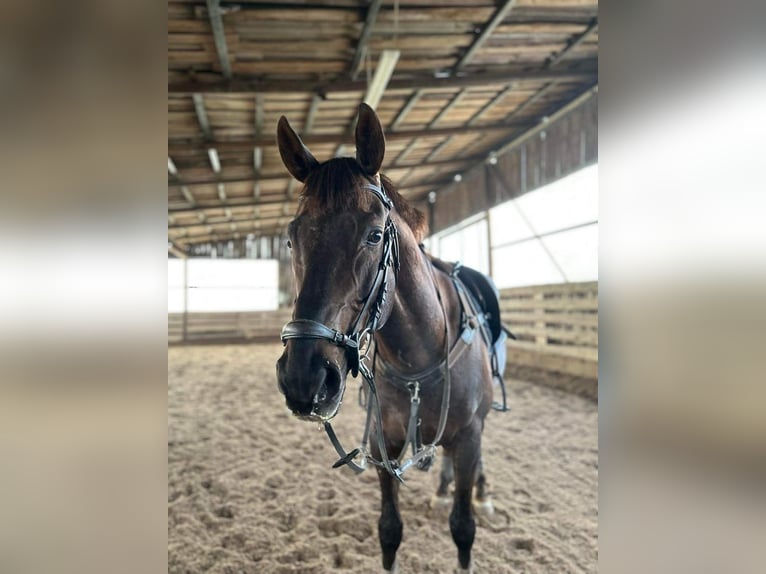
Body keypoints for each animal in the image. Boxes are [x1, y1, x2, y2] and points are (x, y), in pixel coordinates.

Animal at [276, 104, 498, 574]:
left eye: (375, 234)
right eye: (291, 237)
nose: (304, 378)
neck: (420, 356)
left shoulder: (470, 436)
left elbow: (463, 528)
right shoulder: (384, 443)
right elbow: (389, 529)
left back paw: (483, 495)